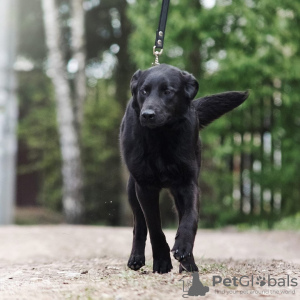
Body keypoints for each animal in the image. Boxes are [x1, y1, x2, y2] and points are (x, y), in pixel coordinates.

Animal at [119, 63, 248, 274]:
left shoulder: (188, 183)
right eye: (144, 91)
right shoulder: (145, 187)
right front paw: (162, 260)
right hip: (132, 189)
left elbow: (190, 218)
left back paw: (188, 264)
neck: (161, 136)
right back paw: (136, 258)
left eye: (168, 92)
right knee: (139, 225)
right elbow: (154, 226)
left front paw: (183, 249)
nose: (147, 115)